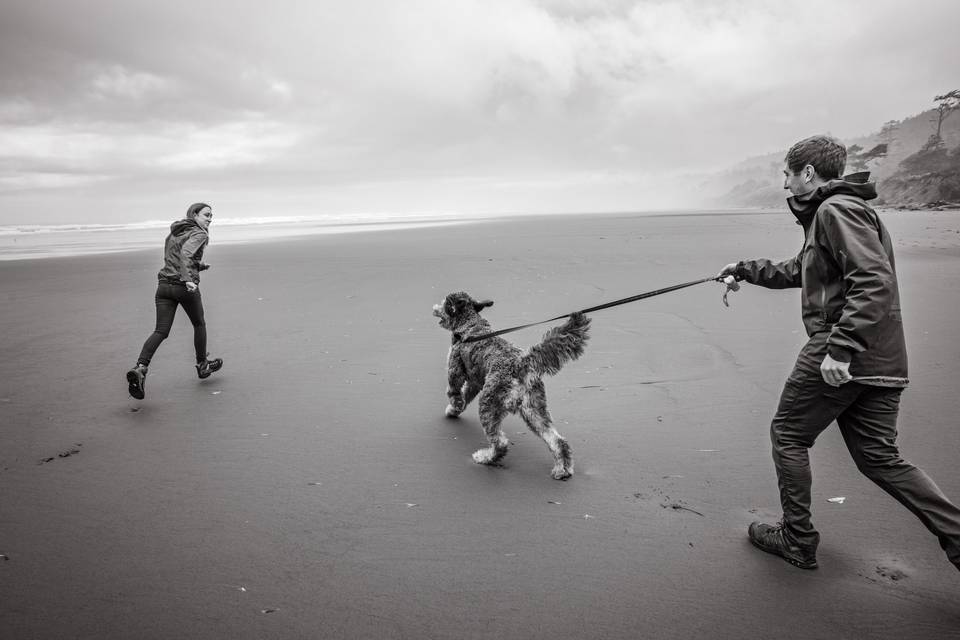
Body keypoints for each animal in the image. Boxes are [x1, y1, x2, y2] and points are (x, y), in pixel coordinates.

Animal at [432, 292, 588, 478]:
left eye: (444, 304)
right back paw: (562, 469)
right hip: (534, 409)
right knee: (557, 440)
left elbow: (455, 392)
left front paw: (452, 408)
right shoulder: (475, 381)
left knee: (500, 443)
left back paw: (485, 457)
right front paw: (455, 409)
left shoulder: (455, 369)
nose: (435, 308)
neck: (471, 326)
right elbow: (465, 396)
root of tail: (521, 364)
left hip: (489, 405)